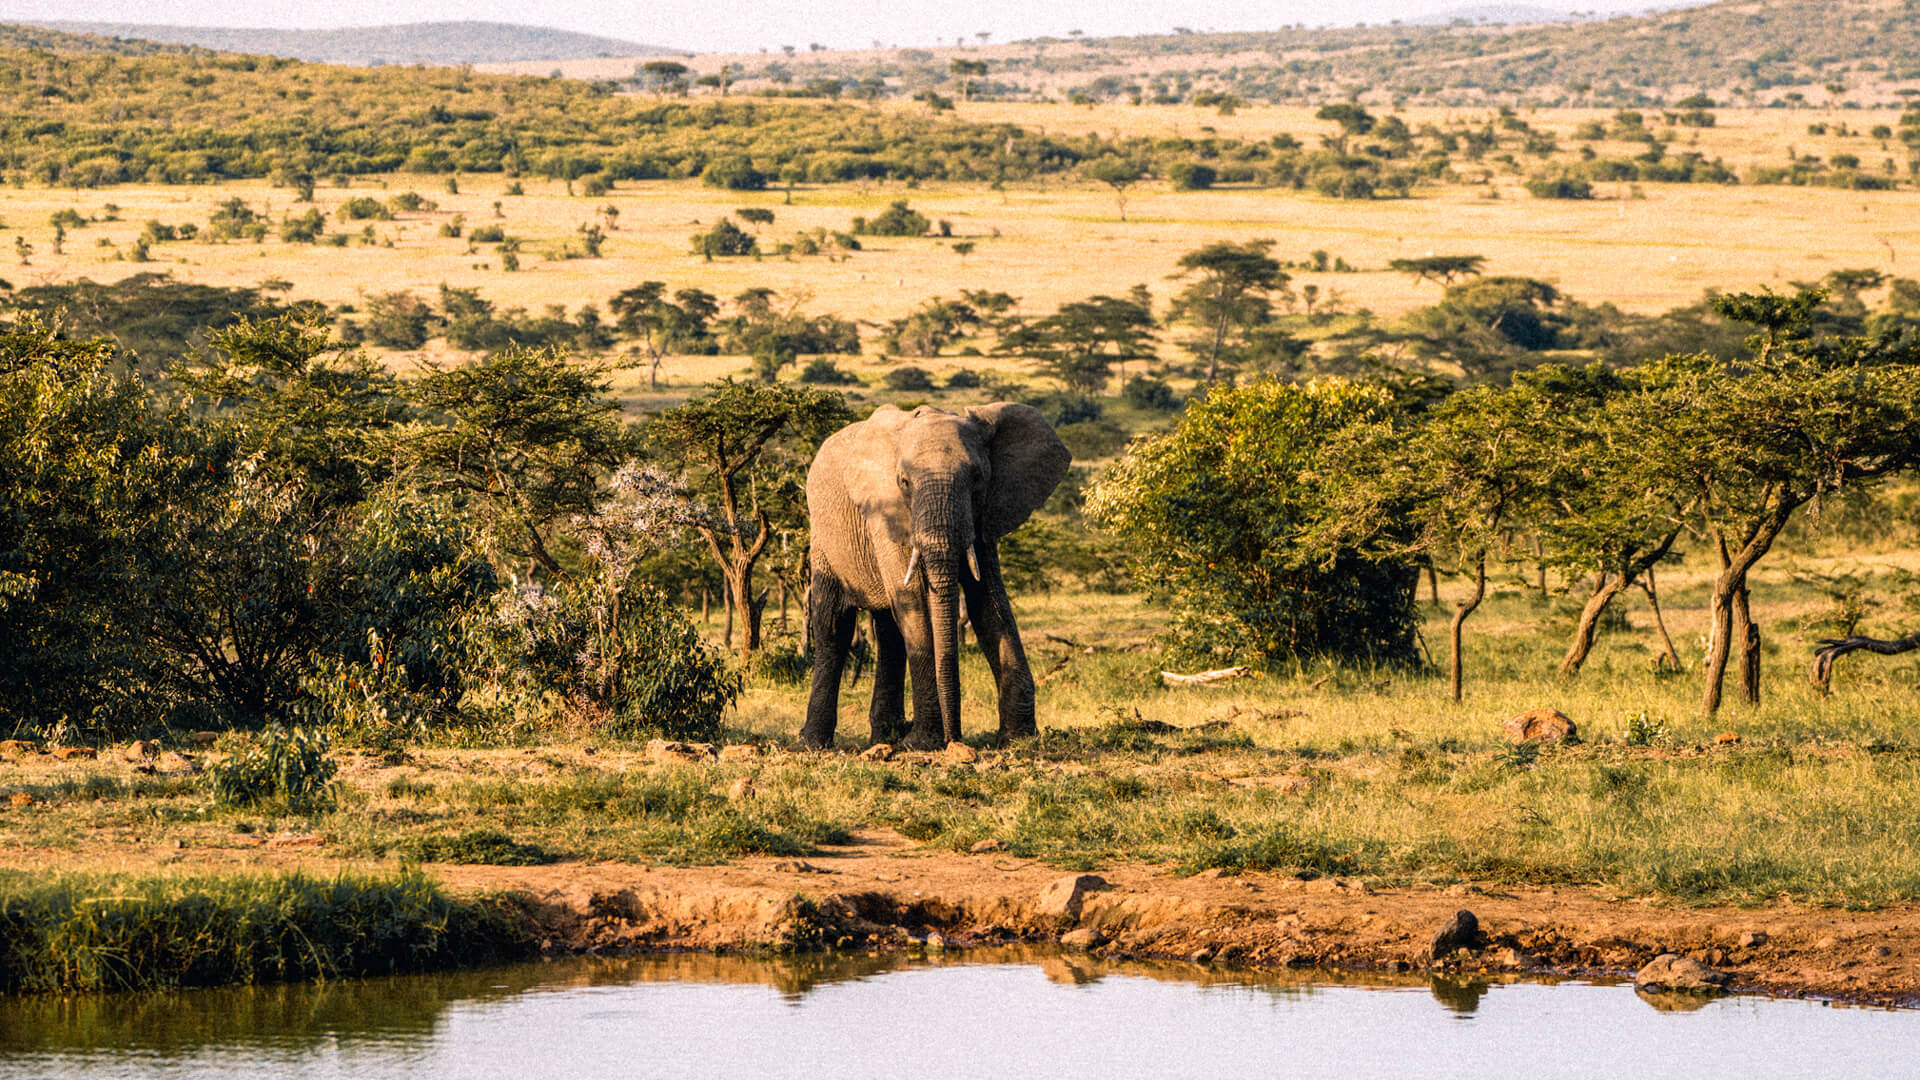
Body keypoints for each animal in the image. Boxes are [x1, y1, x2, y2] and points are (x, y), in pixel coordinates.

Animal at [799, 402, 1070, 751]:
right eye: (904, 482)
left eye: (978, 478)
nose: (955, 738)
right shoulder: (885, 512)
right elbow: (913, 601)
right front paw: (923, 742)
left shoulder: (983, 516)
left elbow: (990, 603)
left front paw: (1018, 739)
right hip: (822, 535)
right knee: (834, 625)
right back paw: (813, 744)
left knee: (888, 629)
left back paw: (885, 736)